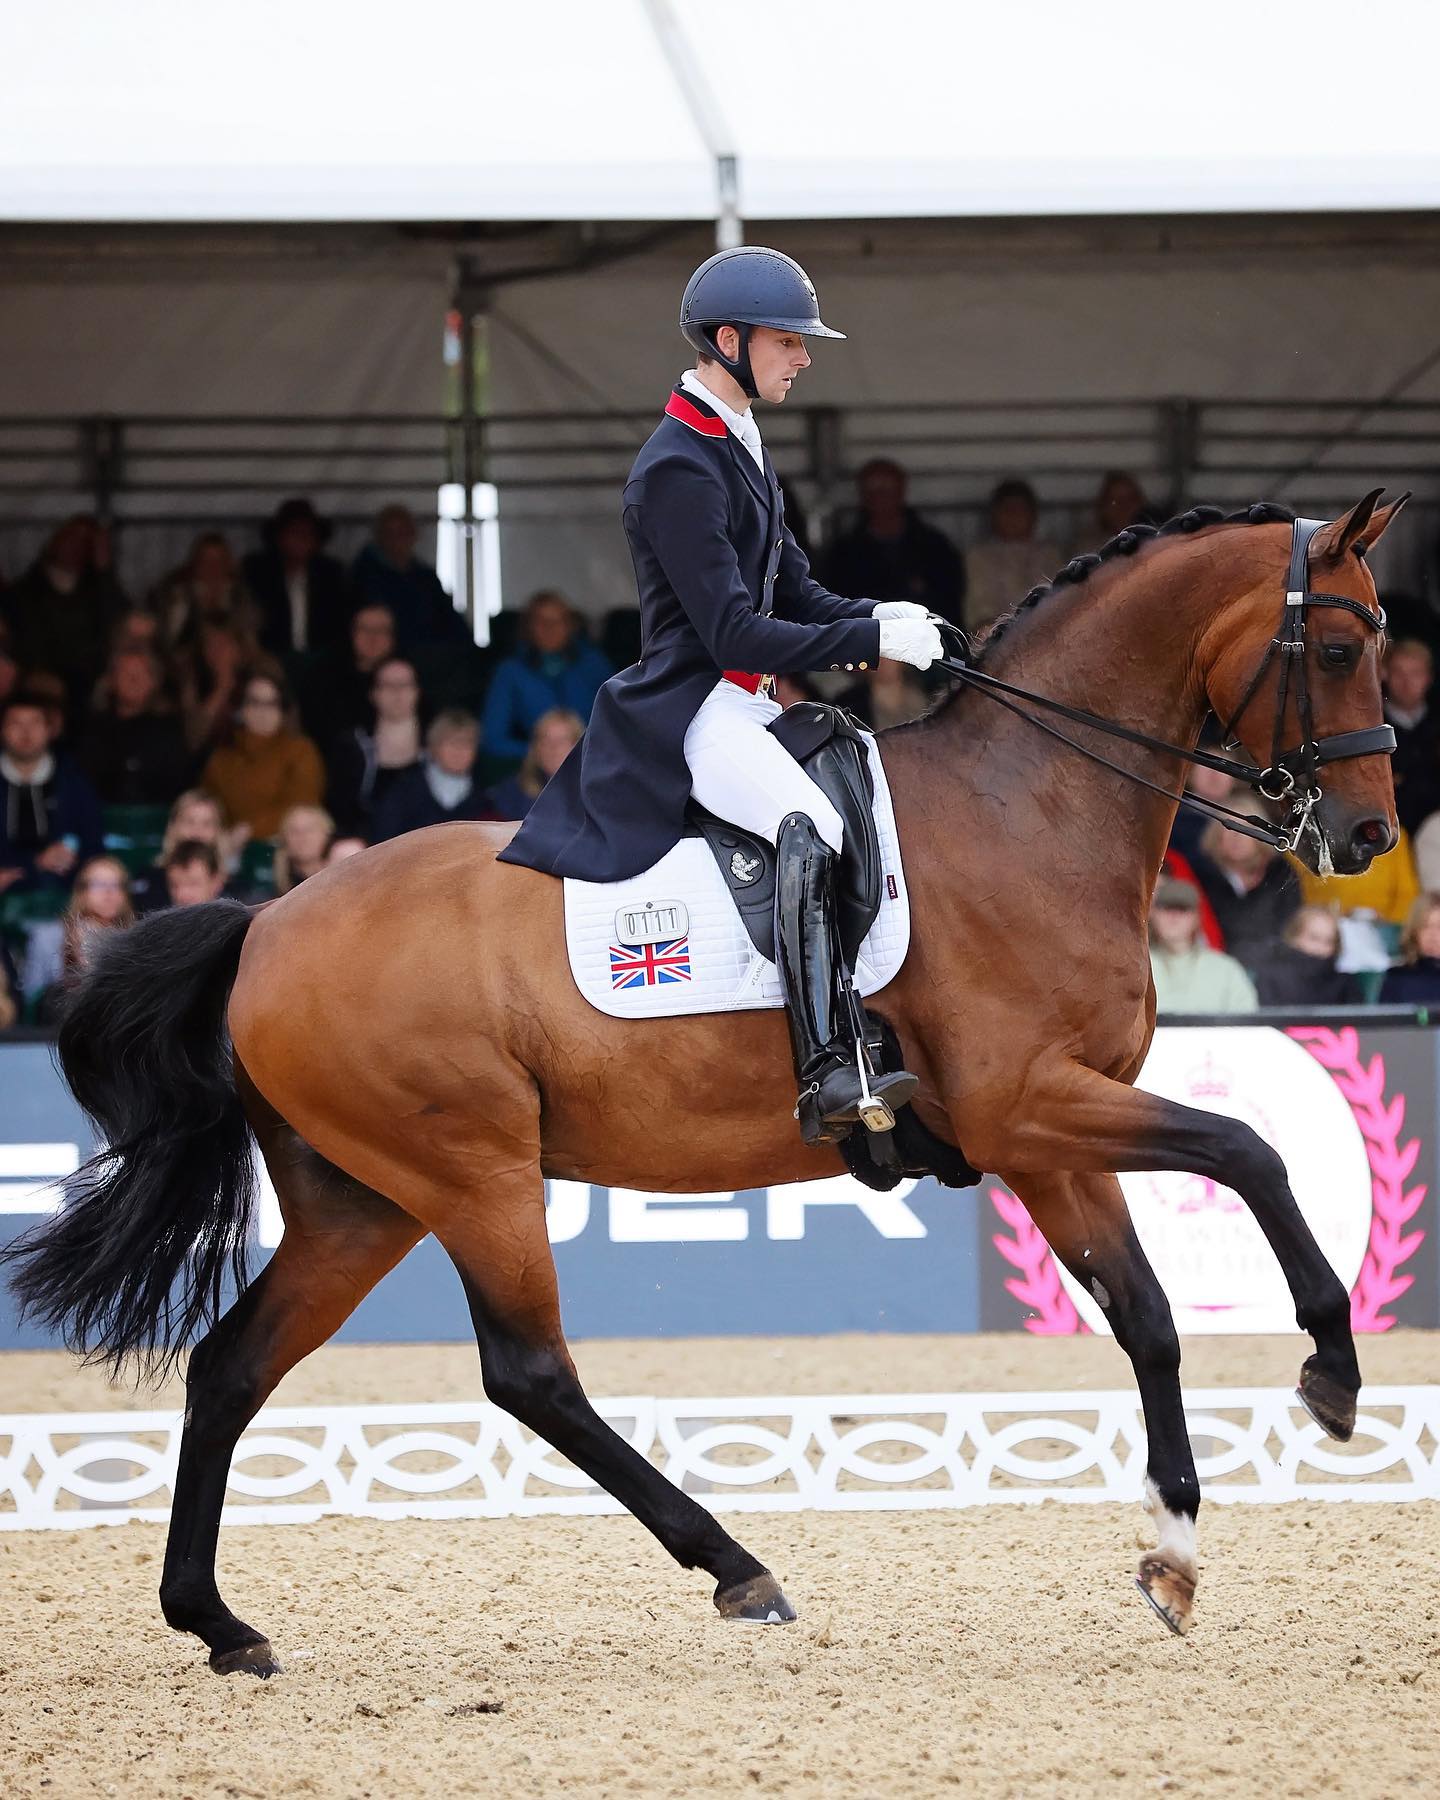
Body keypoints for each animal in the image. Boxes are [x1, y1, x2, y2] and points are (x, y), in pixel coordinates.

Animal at [2, 493, 1404, 1670]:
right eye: (1341, 649)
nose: (1370, 838)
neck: (1031, 808)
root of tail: (266, 925)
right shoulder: (1028, 1104)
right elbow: (1249, 1151)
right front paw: (1332, 1375)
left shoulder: (1042, 1139)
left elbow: (1148, 1316)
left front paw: (1173, 1555)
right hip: (472, 1172)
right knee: (530, 1375)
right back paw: (737, 1567)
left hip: (363, 1201)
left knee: (232, 1368)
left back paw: (218, 1623)